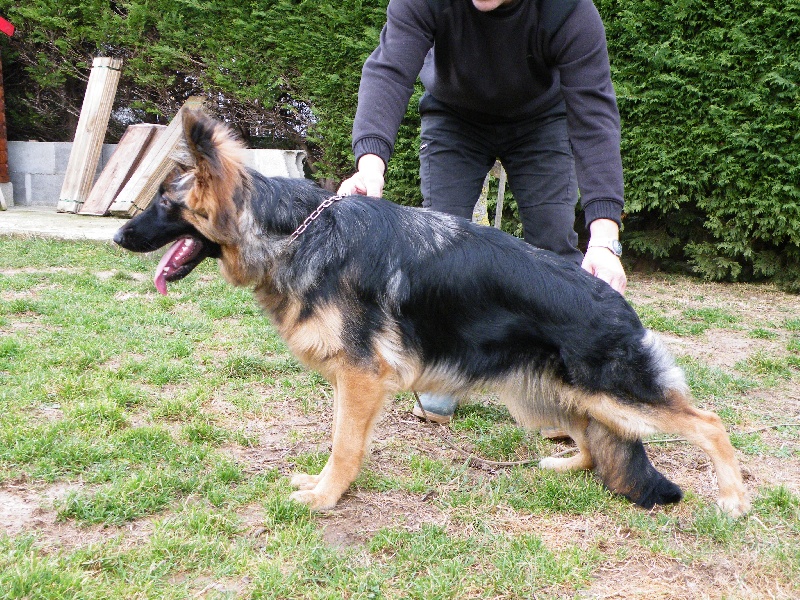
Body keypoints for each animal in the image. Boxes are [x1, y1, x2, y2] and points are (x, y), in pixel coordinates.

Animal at [112, 111, 752, 516]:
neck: (298, 231)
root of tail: (616, 299)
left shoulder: (361, 378)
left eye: (165, 202)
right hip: (553, 396)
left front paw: (324, 498)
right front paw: (322, 486)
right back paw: (565, 465)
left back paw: (733, 498)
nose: (118, 235)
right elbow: (342, 441)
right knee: (596, 442)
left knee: (708, 422)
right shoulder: (352, 382)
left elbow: (344, 446)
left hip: (613, 393)